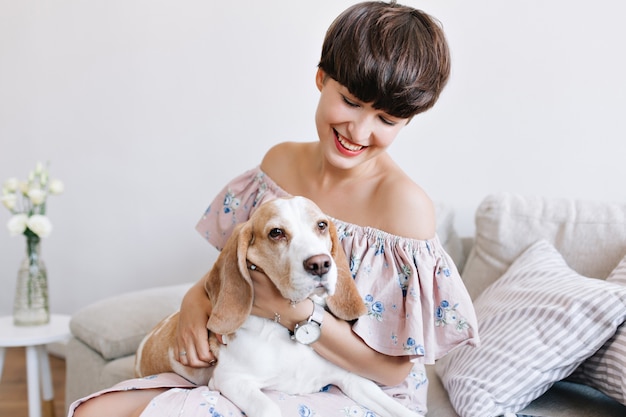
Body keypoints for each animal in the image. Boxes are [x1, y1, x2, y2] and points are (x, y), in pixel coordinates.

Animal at [134, 196, 422, 416]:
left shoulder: (354, 379)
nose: (320, 264)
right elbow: (270, 408)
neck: (289, 333)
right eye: (276, 233)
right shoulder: (232, 379)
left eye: (321, 225)